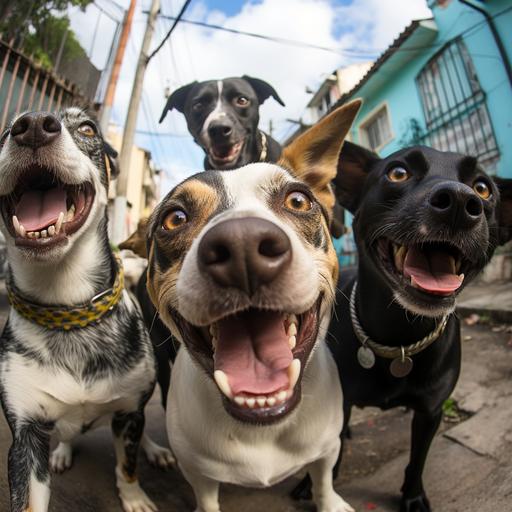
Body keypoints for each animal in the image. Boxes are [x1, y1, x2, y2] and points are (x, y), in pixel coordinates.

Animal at [140, 101, 362, 512]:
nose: (242, 246)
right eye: (174, 219)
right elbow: (206, 498)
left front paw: (329, 501)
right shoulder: (198, 472)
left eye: (297, 200)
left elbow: (323, 479)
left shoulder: (325, 448)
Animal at [292, 143, 512, 512]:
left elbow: (417, 459)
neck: (399, 335)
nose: (459, 201)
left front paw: (413, 496)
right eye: (398, 172)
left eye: (483, 188)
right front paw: (317, 486)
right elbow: (329, 453)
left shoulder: (430, 412)